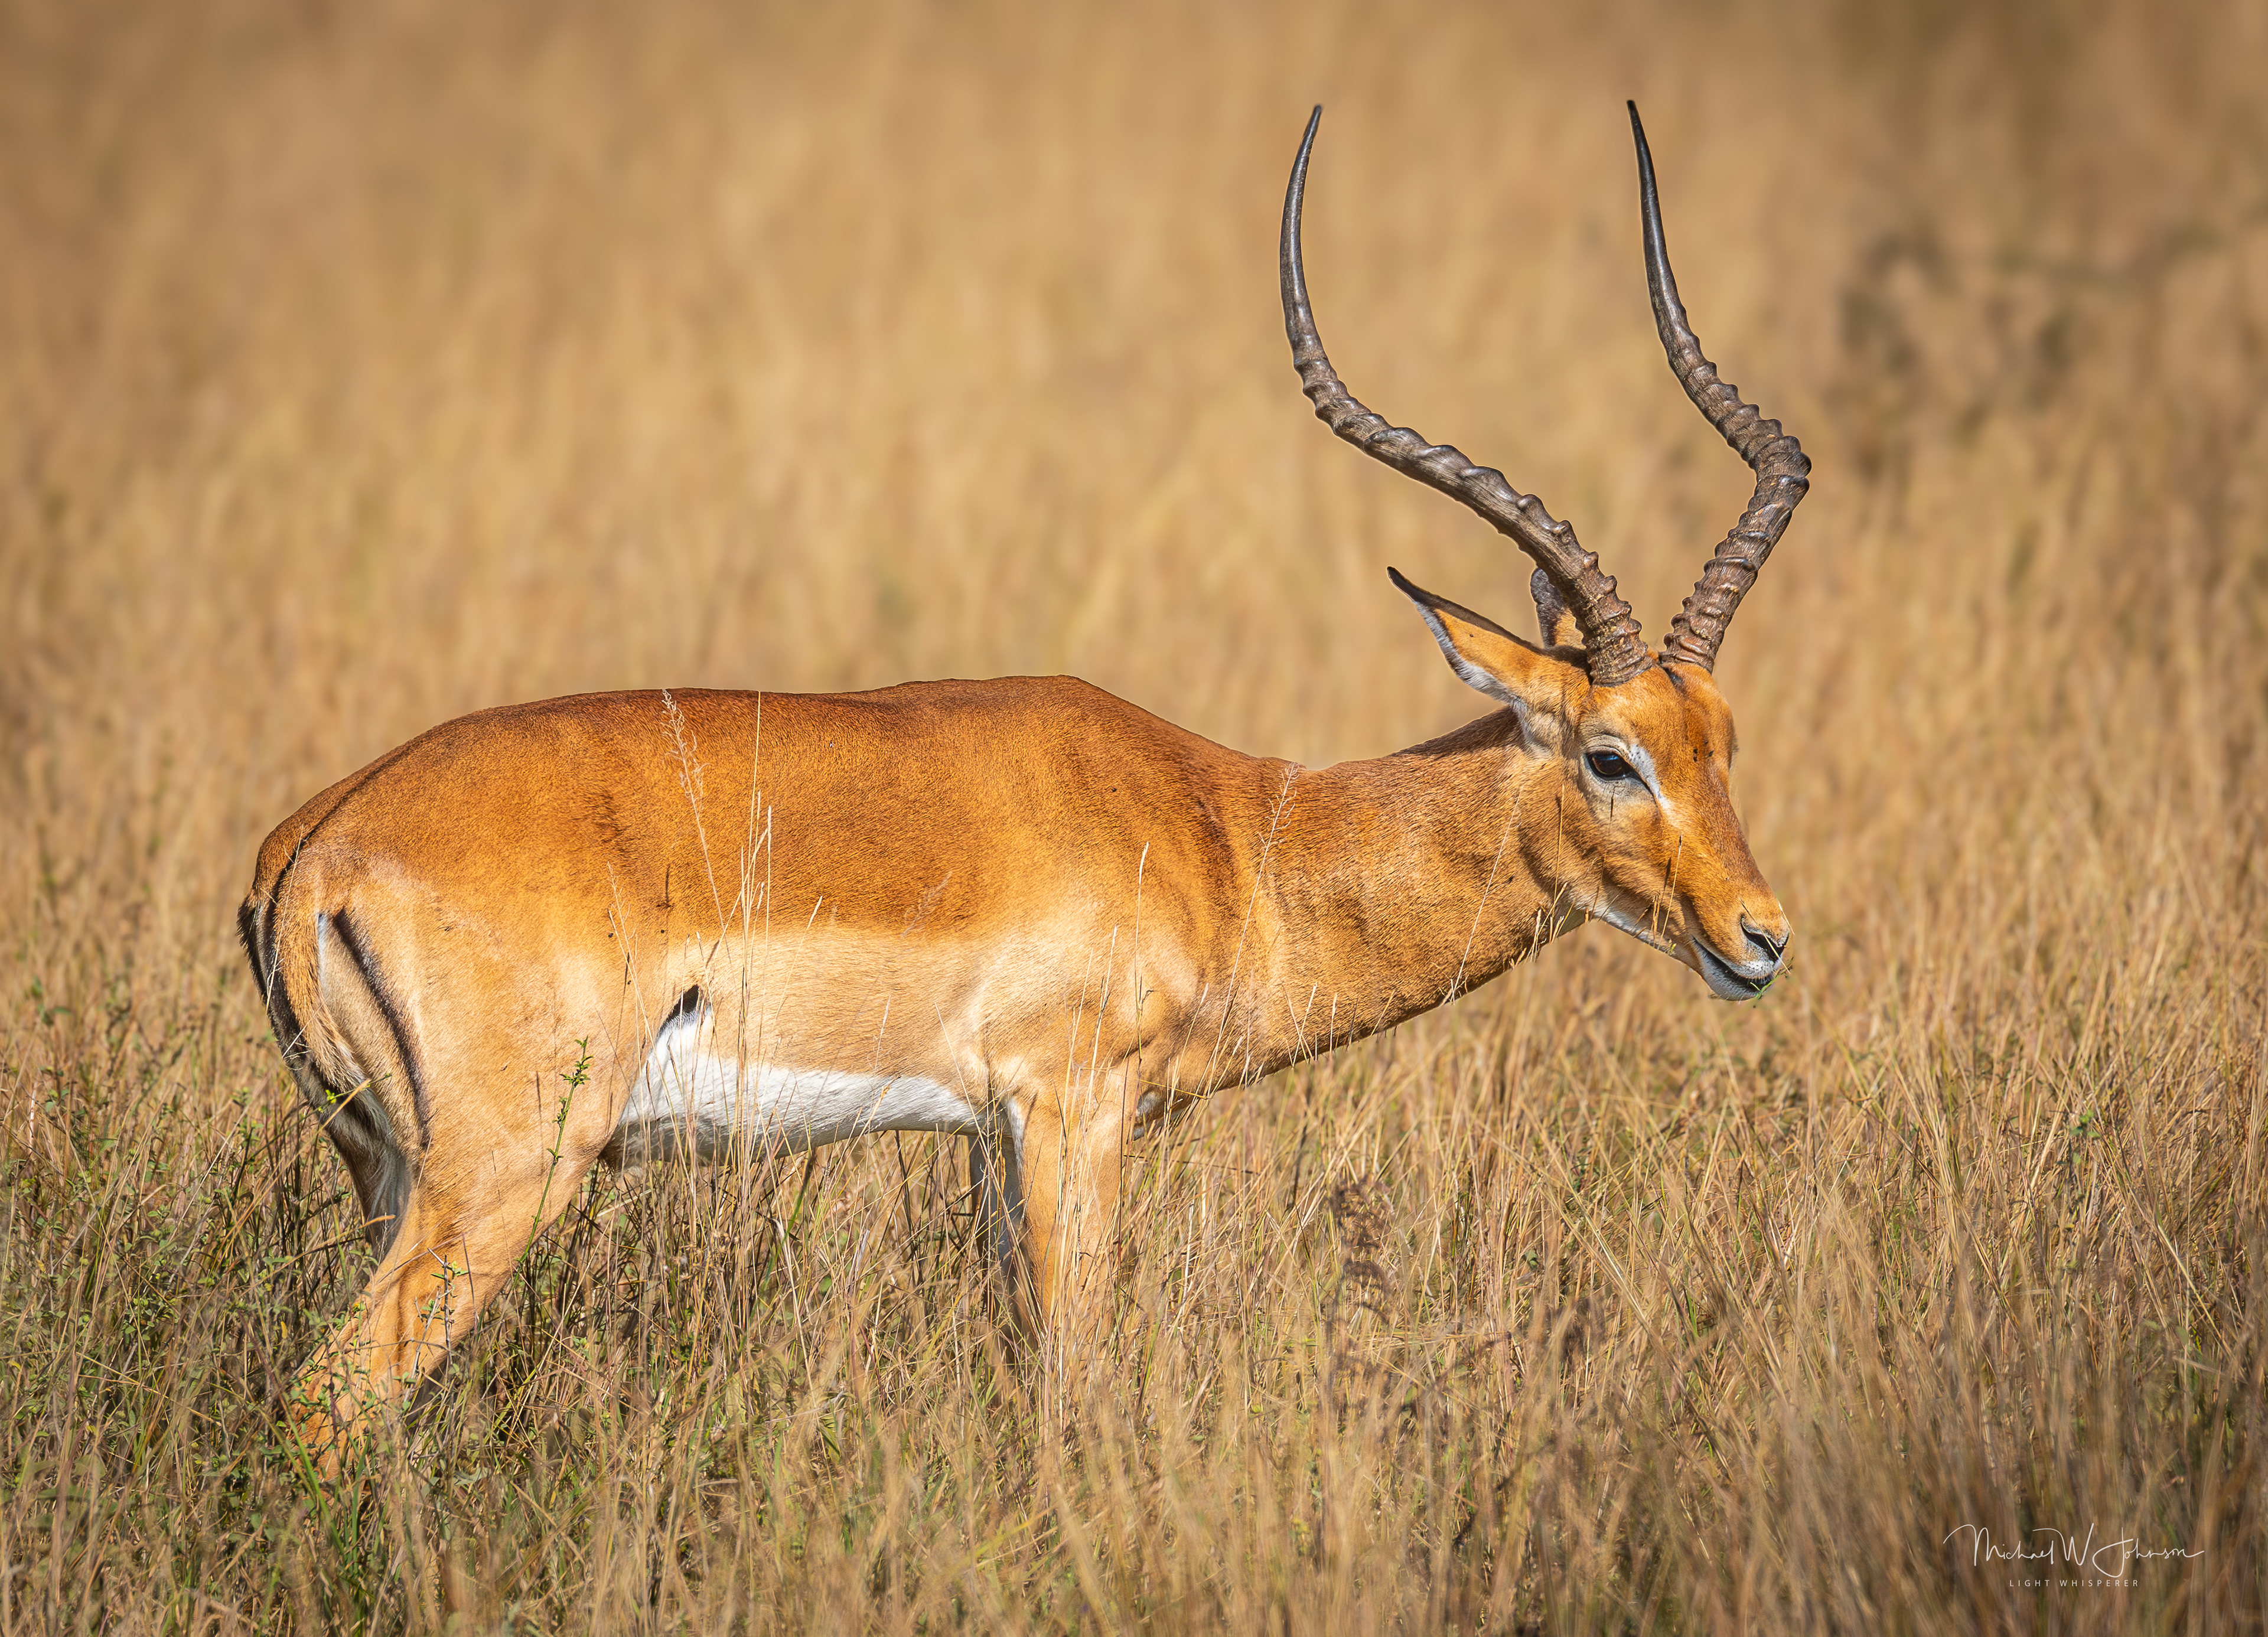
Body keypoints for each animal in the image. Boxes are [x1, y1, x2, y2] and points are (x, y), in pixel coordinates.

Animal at [242, 103, 1808, 1470]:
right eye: (1609, 754)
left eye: (1723, 737)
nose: (1761, 939)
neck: (1231, 830)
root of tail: (316, 844)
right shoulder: (1074, 1109)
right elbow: (1074, 1388)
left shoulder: (991, 1140)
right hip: (504, 1176)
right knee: (326, 1408)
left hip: (390, 1175)